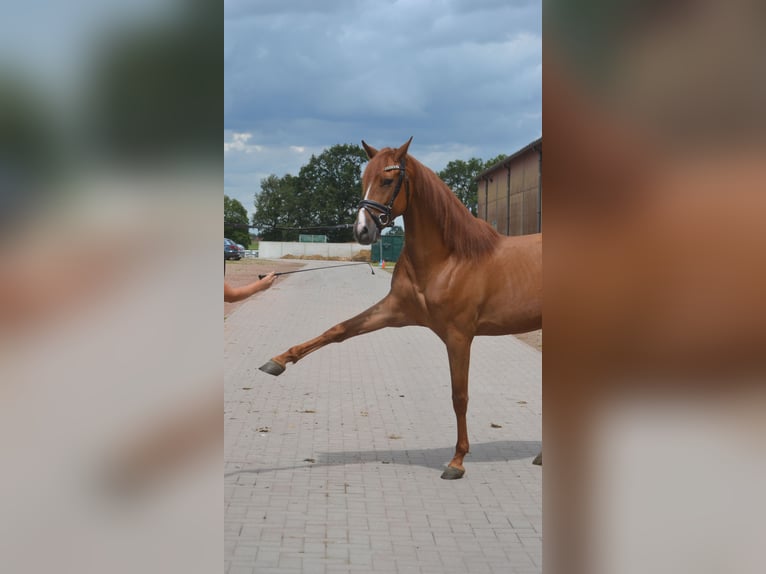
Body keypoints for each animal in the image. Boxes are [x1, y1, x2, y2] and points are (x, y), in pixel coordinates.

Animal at [260, 140, 544, 482]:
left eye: (387, 180)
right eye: (363, 179)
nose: (362, 230)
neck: (450, 259)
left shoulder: (459, 336)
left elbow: (459, 396)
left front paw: (457, 461)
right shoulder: (394, 311)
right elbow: (339, 330)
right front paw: (278, 361)